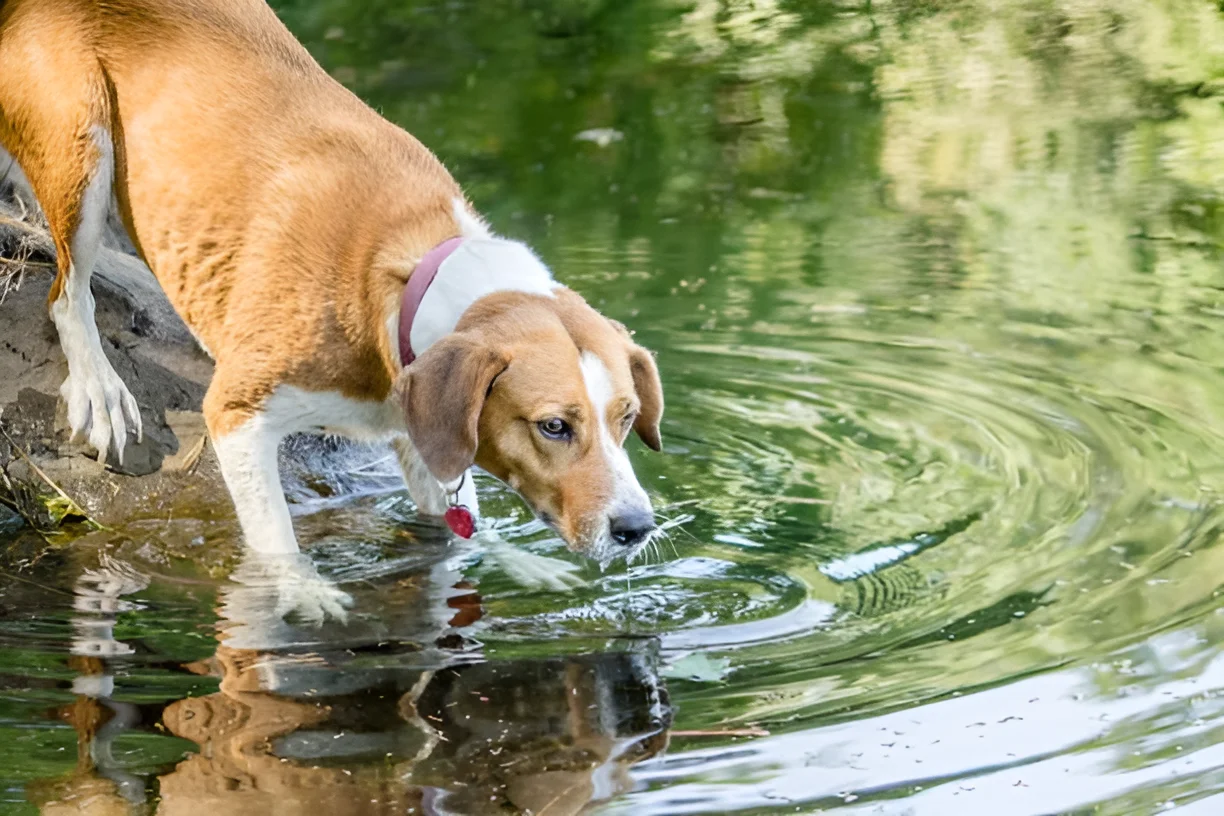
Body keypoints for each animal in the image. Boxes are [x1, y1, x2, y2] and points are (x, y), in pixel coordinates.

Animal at [0, 1, 665, 574]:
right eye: (553, 426)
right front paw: (308, 597)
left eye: (628, 416)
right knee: (68, 292)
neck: (403, 277)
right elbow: (277, 545)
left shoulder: (420, 440)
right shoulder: (238, 417)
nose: (636, 527)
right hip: (81, 151)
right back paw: (99, 385)